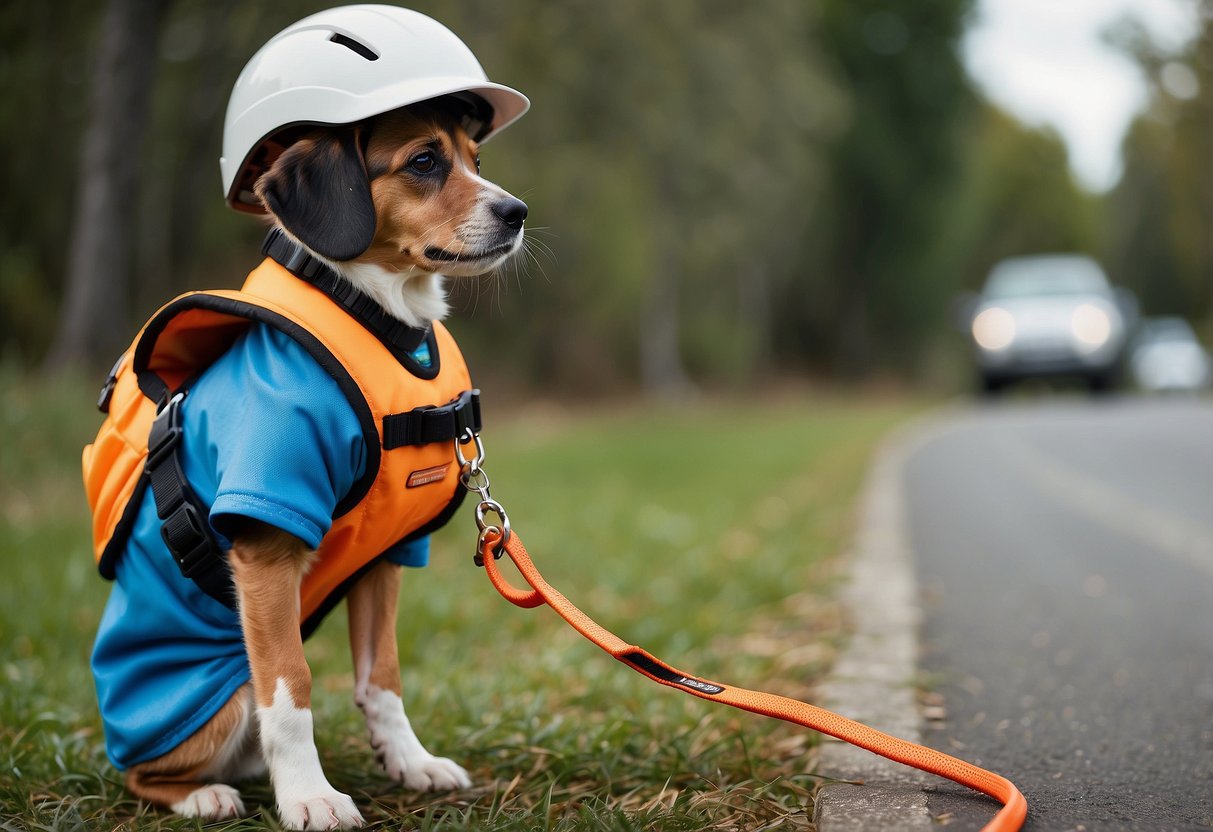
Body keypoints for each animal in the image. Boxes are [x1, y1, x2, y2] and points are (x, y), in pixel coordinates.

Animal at [111, 96, 528, 829]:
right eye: (425, 160)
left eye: (475, 161)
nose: (518, 211)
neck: (371, 311)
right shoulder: (266, 551)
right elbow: (291, 690)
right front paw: (309, 796)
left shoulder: (386, 557)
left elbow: (382, 676)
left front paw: (410, 762)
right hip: (211, 702)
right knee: (144, 771)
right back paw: (202, 794)